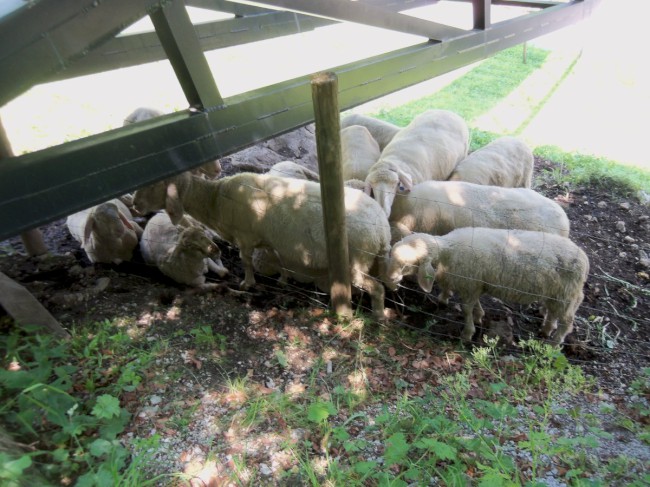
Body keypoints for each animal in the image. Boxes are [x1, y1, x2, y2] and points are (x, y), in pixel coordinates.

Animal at [132, 173, 390, 320]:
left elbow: (245, 260)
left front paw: (247, 283)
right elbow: (279, 259)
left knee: (377, 288)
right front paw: (283, 280)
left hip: (356, 260)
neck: (214, 201)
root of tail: (382, 229)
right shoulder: (270, 239)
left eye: (154, 186)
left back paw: (378, 316)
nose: (134, 204)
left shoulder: (245, 237)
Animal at [382, 228, 588, 344]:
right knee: (553, 313)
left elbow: (466, 308)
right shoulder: (475, 284)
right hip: (557, 294)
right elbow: (475, 305)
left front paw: (467, 334)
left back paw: (554, 344)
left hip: (566, 295)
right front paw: (479, 317)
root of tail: (585, 261)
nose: (389, 282)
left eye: (407, 264)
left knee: (567, 322)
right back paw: (546, 330)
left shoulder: (470, 283)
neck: (448, 252)